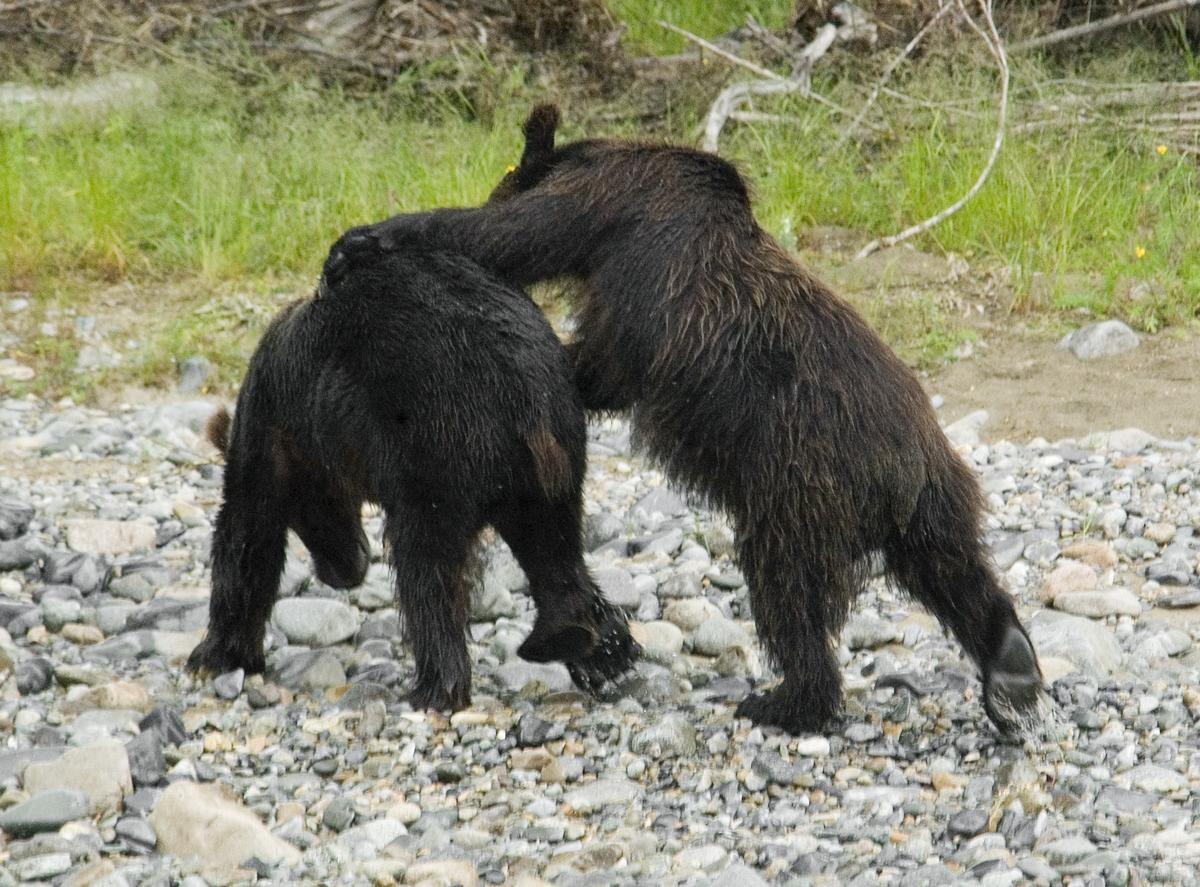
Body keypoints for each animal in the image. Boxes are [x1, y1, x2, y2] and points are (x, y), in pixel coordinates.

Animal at [184, 244, 638, 715]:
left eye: (305, 519)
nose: (344, 571)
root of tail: (525, 397)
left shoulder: (269, 417)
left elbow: (247, 528)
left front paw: (215, 655)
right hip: (554, 458)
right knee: (554, 547)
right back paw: (597, 649)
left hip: (438, 444)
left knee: (426, 564)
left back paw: (435, 687)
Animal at [324, 107, 1046, 739]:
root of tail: (902, 469)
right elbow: (597, 365)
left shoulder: (619, 211)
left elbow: (515, 238)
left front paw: (366, 238)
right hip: (936, 502)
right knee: (957, 572)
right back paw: (1011, 665)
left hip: (799, 486)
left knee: (788, 592)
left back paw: (786, 700)